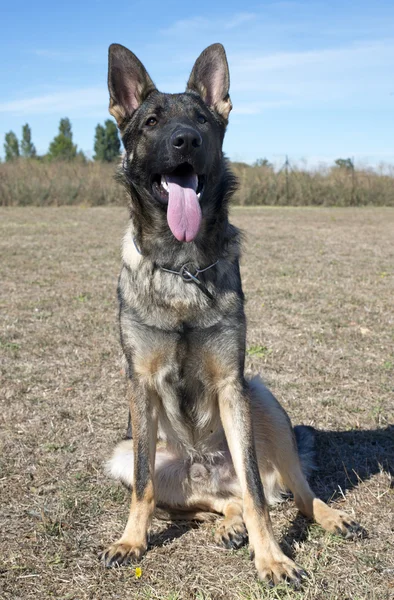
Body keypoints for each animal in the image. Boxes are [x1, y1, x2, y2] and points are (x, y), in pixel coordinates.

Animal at [102, 42, 364, 584]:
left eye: (202, 120)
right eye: (152, 122)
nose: (185, 140)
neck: (182, 267)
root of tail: (209, 469)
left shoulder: (232, 383)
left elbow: (261, 498)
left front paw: (273, 559)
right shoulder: (139, 386)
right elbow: (143, 482)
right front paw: (132, 541)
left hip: (262, 399)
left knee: (281, 491)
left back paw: (328, 516)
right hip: (125, 455)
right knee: (216, 501)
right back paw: (227, 524)